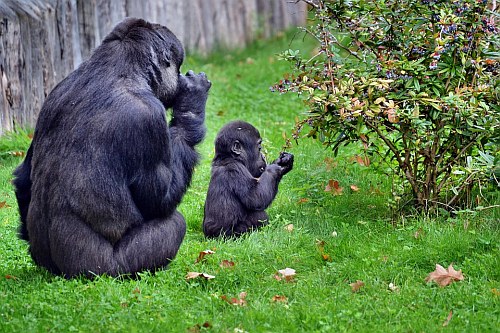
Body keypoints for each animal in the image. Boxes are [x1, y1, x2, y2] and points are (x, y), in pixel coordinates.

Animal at [12, 18, 211, 278]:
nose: (179, 77)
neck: (119, 68)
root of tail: (63, 272)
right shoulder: (148, 116)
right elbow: (160, 201)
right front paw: (191, 105)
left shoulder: (51, 97)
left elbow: (23, 179)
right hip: (104, 271)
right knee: (174, 223)